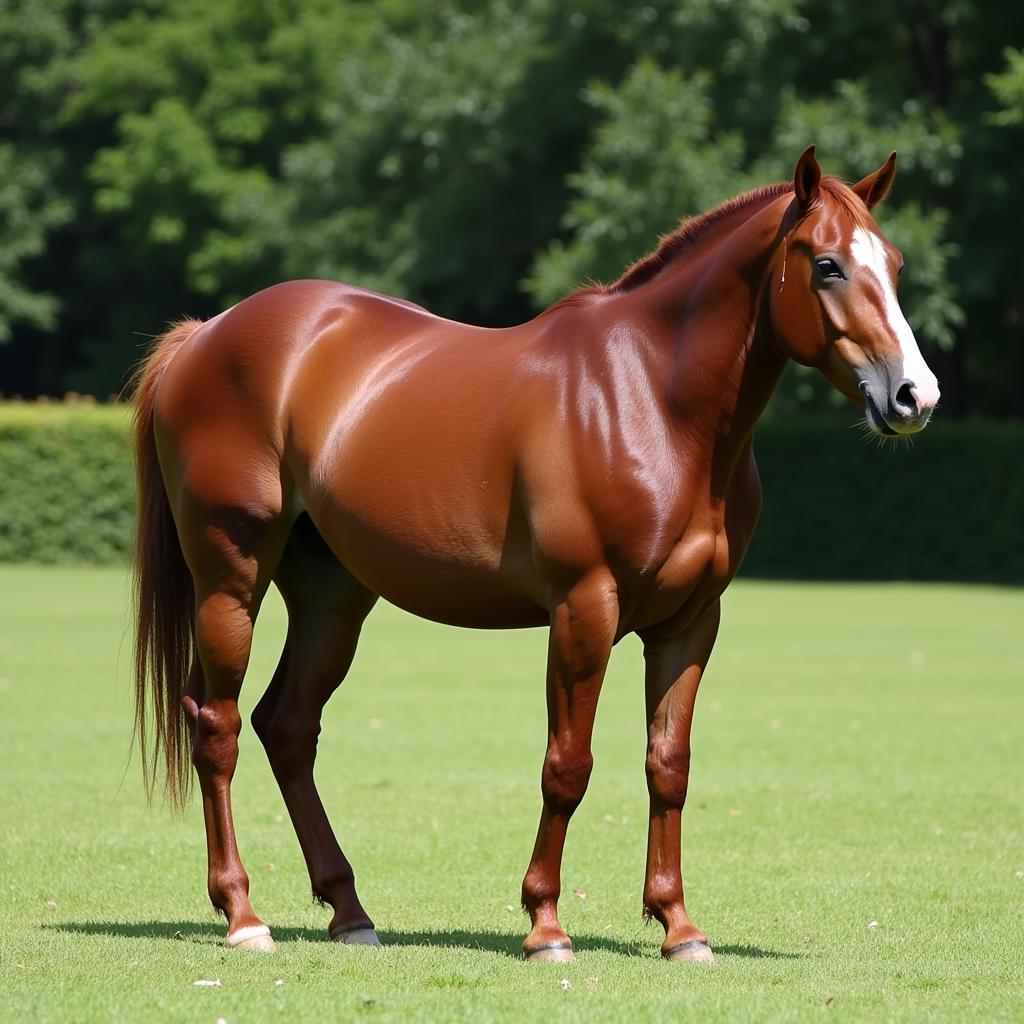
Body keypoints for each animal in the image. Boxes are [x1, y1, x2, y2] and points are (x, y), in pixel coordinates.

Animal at [132, 148, 937, 962]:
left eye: (895, 264)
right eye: (827, 264)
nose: (915, 396)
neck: (650, 400)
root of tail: (205, 334)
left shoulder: (689, 622)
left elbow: (668, 765)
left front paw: (679, 927)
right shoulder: (584, 609)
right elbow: (567, 765)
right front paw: (546, 924)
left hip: (334, 597)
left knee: (288, 726)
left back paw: (350, 912)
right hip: (231, 578)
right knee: (219, 726)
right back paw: (243, 915)